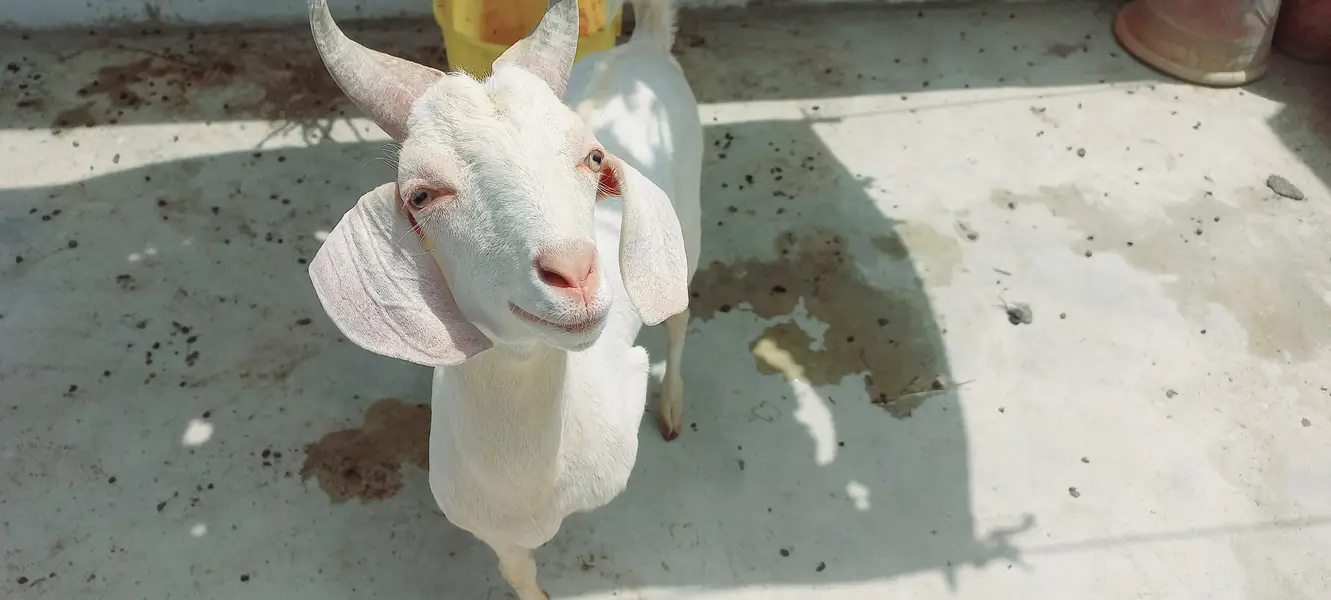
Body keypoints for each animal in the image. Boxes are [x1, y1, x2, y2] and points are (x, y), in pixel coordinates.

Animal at [304, 0, 702, 597]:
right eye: (421, 195)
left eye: (593, 158)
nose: (574, 274)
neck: (532, 481)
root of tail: (645, 45)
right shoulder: (492, 530)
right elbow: (518, 572)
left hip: (686, 227)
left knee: (679, 315)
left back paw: (673, 404)